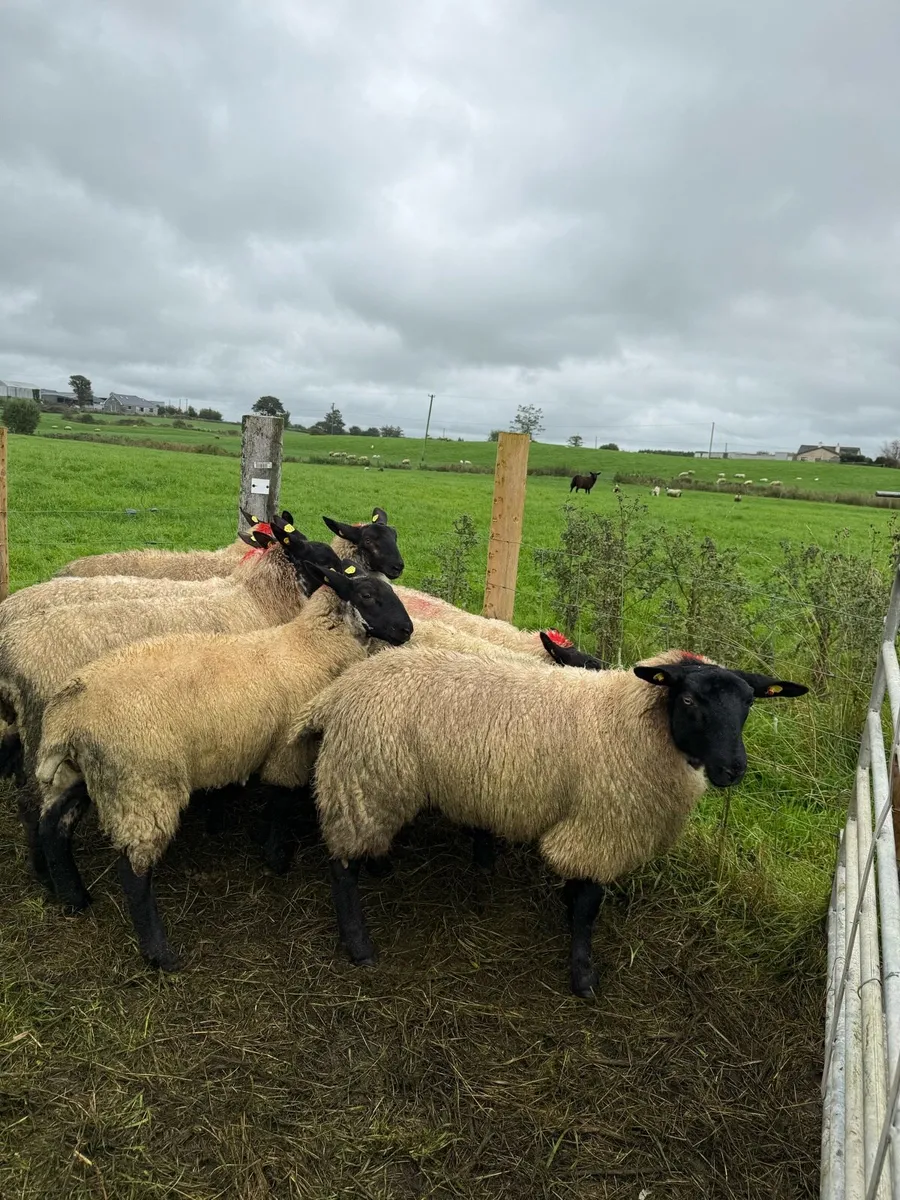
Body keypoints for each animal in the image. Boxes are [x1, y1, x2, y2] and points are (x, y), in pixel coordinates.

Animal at [35, 560, 414, 971]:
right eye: (367, 595)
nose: (408, 630)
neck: (309, 648)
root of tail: (69, 714)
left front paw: (262, 840)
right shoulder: (287, 749)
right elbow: (281, 800)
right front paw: (276, 856)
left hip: (83, 774)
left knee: (52, 826)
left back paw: (71, 898)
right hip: (142, 781)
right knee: (133, 870)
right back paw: (160, 953)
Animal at [294, 648, 808, 996]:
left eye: (749, 704)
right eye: (686, 700)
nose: (732, 769)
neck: (631, 722)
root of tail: (338, 691)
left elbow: (578, 894)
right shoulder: (601, 826)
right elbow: (588, 905)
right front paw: (583, 975)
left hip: (370, 785)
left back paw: (380, 865)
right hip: (363, 777)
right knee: (341, 867)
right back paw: (359, 945)